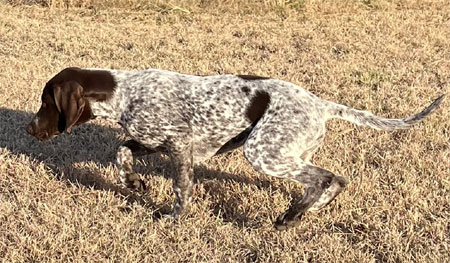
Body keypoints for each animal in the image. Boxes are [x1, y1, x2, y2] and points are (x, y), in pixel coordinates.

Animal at [26, 67, 444, 230]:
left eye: (47, 102)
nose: (30, 127)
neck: (125, 92)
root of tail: (320, 103)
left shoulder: (179, 146)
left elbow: (181, 189)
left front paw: (173, 218)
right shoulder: (154, 141)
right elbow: (122, 152)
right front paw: (134, 184)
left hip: (262, 152)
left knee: (329, 178)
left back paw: (290, 216)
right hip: (289, 152)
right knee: (329, 181)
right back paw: (303, 212)